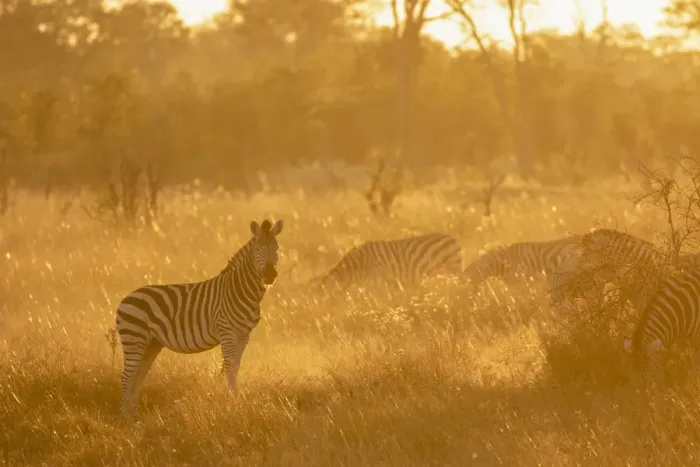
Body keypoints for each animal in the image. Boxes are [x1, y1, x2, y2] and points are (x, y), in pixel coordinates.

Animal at [114, 219, 283, 416]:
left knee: (139, 374)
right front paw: (232, 403)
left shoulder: (244, 334)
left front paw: (235, 400)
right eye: (258, 249)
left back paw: (133, 415)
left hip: (151, 343)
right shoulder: (227, 332)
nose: (270, 275)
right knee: (127, 376)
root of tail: (125, 299)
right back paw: (125, 416)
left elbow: (236, 366)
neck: (239, 290)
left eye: (276, 248)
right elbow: (229, 367)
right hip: (134, 337)